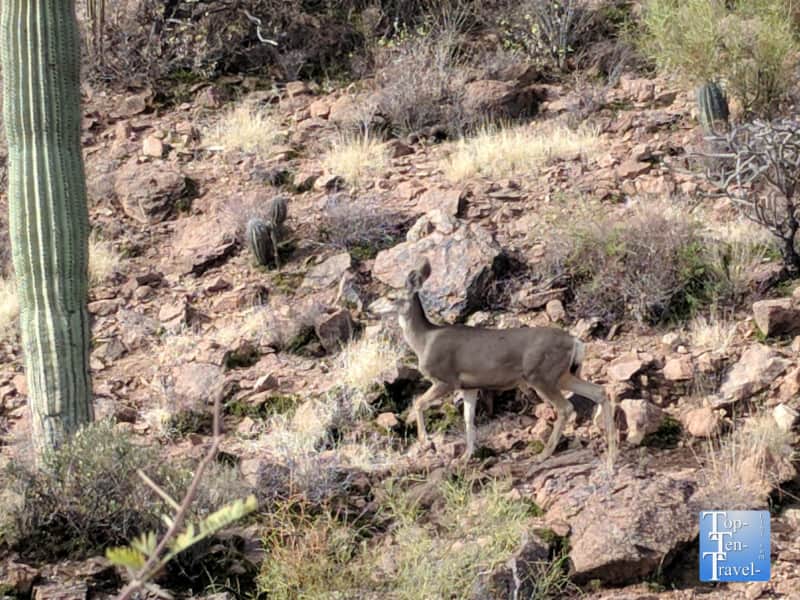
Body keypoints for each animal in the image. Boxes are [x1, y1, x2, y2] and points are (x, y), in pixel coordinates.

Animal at [392, 258, 617, 464]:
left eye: (392, 297)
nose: (377, 308)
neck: (425, 340)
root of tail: (575, 342)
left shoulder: (446, 380)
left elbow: (418, 403)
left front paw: (427, 442)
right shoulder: (469, 386)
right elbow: (468, 420)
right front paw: (466, 457)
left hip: (541, 375)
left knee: (566, 407)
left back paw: (543, 454)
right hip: (562, 375)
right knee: (599, 391)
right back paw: (611, 454)